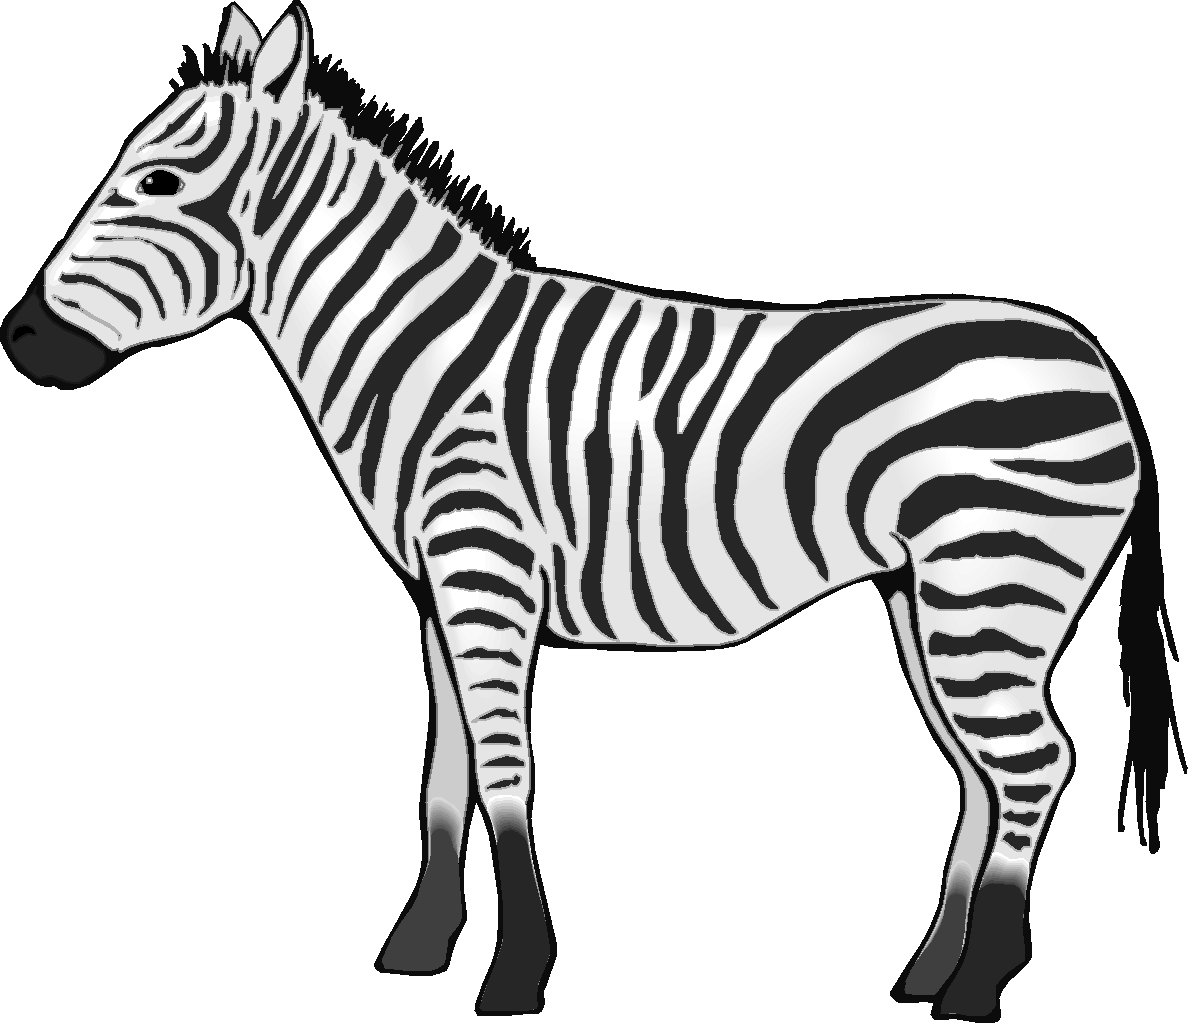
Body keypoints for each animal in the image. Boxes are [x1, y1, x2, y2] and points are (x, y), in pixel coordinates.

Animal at [1, 3, 1182, 1020]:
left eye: (157, 179)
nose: (18, 340)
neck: (421, 355)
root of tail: (1104, 361)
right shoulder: (436, 593)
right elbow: (443, 774)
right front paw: (419, 948)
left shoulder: (486, 570)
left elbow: (506, 772)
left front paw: (518, 972)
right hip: (930, 598)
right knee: (982, 772)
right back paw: (928, 971)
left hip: (992, 582)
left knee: (1034, 764)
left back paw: (981, 983)